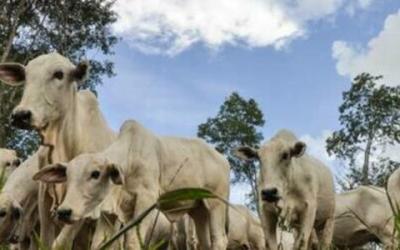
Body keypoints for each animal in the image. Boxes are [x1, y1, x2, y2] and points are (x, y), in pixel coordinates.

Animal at [0, 51, 115, 249]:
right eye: (26, 76)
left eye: (59, 74)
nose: (21, 115)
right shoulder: (44, 199)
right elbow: (46, 241)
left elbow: (61, 242)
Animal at [34, 120, 230, 249]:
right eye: (67, 175)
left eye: (95, 174)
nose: (64, 211)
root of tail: (223, 159)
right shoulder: (111, 212)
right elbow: (100, 243)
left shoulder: (147, 200)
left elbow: (133, 242)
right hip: (198, 210)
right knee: (204, 242)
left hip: (216, 204)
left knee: (219, 240)